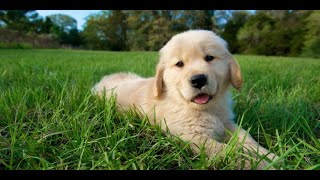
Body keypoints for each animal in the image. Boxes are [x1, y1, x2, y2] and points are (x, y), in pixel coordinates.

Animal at [92, 29, 278, 170]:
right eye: (179, 64)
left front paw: (269, 156)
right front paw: (259, 164)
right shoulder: (193, 137)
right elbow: (227, 151)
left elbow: (247, 138)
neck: (206, 109)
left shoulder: (227, 123)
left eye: (209, 58)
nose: (198, 80)